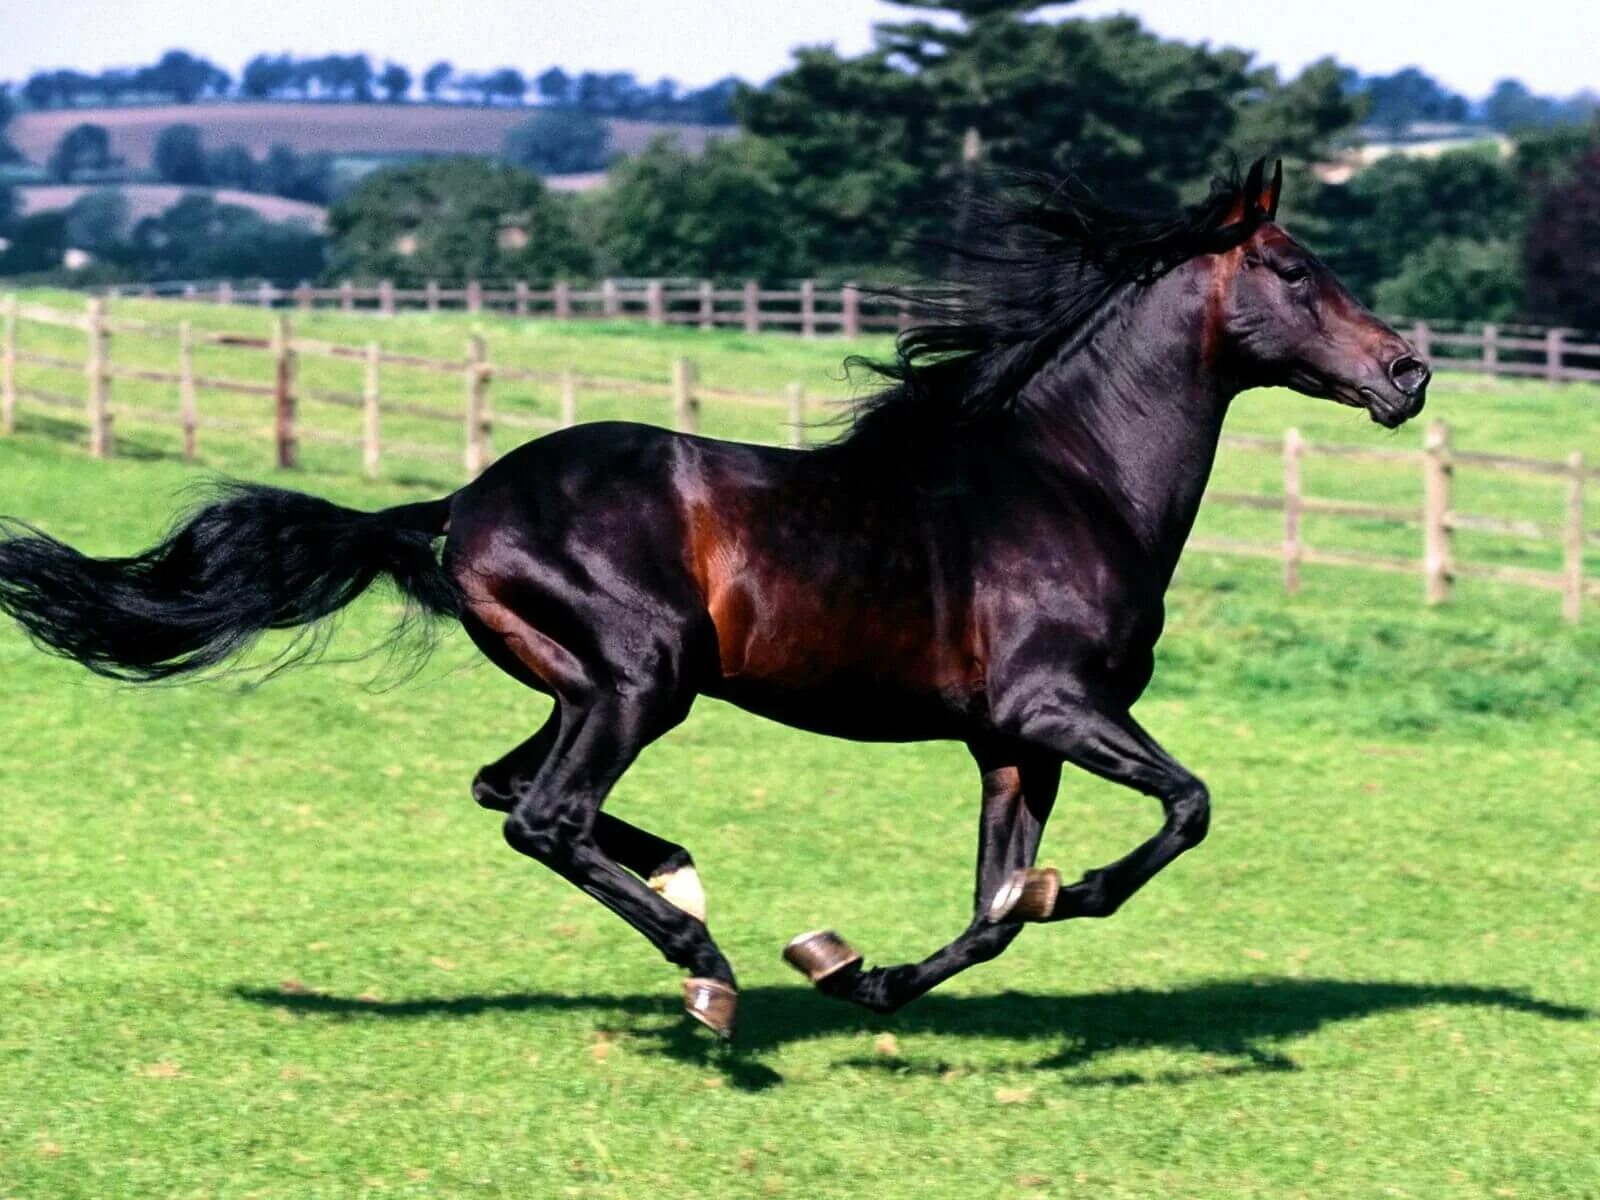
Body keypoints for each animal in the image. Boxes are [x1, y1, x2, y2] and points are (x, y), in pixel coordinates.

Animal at [0, 162, 1427, 1043]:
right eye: (1295, 271)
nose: (1408, 374)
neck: (1069, 481)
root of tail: (460, 506)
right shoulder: (1052, 708)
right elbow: (1182, 812)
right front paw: (1054, 899)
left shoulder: (1010, 743)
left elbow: (986, 913)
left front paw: (863, 971)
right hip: (642, 677)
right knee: (545, 815)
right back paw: (706, 972)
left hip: (588, 685)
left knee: (509, 794)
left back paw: (691, 896)